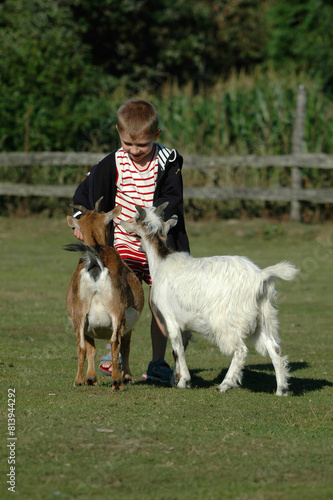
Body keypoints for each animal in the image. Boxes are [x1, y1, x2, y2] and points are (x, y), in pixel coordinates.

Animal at [64, 198, 143, 390]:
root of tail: (95, 263)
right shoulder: (127, 323)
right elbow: (125, 347)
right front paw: (127, 377)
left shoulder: (86, 324)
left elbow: (90, 348)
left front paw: (90, 378)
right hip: (117, 311)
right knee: (116, 343)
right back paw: (117, 381)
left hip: (79, 314)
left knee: (81, 345)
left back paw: (78, 380)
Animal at [121, 202, 298, 394]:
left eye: (136, 219)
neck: (161, 262)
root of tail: (260, 276)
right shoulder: (185, 324)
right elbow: (179, 350)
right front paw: (176, 379)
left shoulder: (170, 318)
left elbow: (177, 348)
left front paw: (183, 381)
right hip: (264, 318)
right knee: (275, 349)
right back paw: (281, 389)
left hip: (228, 321)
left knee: (241, 350)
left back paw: (225, 384)